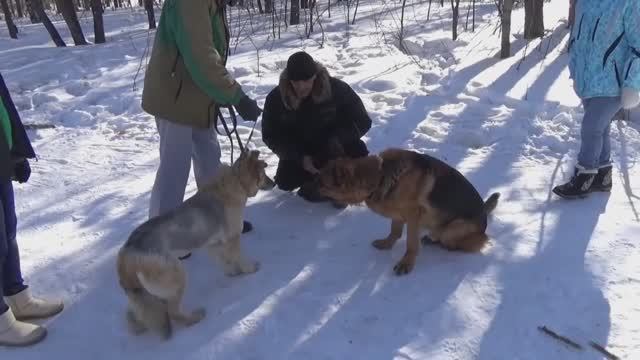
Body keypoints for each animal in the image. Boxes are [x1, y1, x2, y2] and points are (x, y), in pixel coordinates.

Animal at [116, 148, 274, 338]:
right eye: (264, 173)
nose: (274, 183)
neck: (236, 182)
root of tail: (127, 252)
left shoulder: (213, 244)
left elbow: (224, 262)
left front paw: (232, 273)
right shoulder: (233, 239)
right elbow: (240, 258)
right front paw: (249, 269)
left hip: (144, 293)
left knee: (137, 312)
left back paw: (141, 326)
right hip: (176, 276)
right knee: (173, 311)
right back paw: (194, 318)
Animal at [316, 148, 500, 276]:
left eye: (322, 184)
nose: (306, 189)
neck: (380, 176)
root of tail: (484, 213)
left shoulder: (413, 216)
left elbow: (411, 244)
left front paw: (406, 263)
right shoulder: (398, 214)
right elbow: (394, 231)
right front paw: (387, 244)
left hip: (453, 229)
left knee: (458, 243)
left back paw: (437, 240)